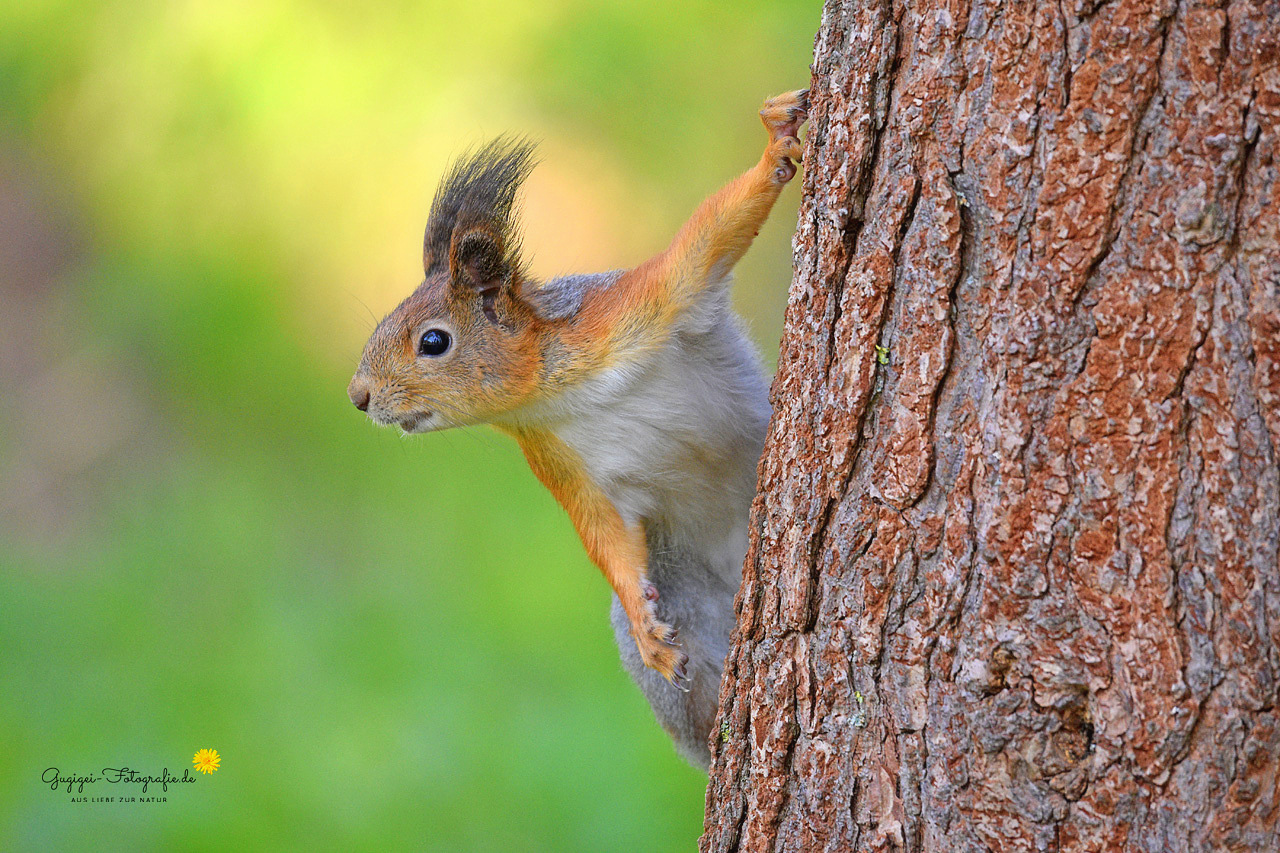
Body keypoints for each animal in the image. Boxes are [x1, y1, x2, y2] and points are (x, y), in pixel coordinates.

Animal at [348, 89, 808, 768]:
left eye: (433, 341)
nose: (359, 397)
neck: (555, 393)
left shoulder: (638, 309)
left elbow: (705, 241)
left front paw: (775, 144)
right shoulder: (565, 465)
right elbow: (605, 536)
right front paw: (648, 635)